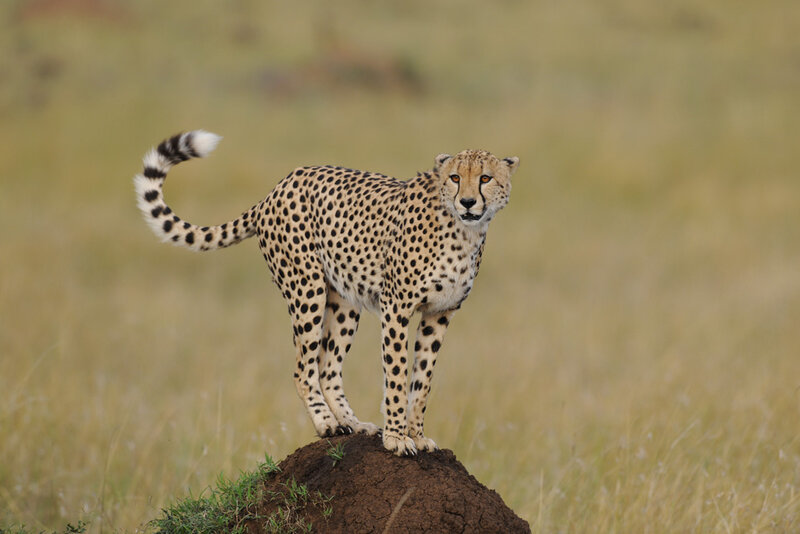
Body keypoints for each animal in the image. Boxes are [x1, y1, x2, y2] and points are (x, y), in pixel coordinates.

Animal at [133, 131, 519, 456]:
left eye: (485, 178)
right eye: (455, 178)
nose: (467, 202)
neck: (464, 232)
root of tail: (280, 185)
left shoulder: (439, 314)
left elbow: (421, 381)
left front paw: (417, 435)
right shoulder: (397, 308)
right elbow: (396, 374)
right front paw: (396, 438)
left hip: (345, 301)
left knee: (328, 366)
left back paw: (352, 423)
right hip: (307, 288)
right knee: (303, 369)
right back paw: (326, 424)